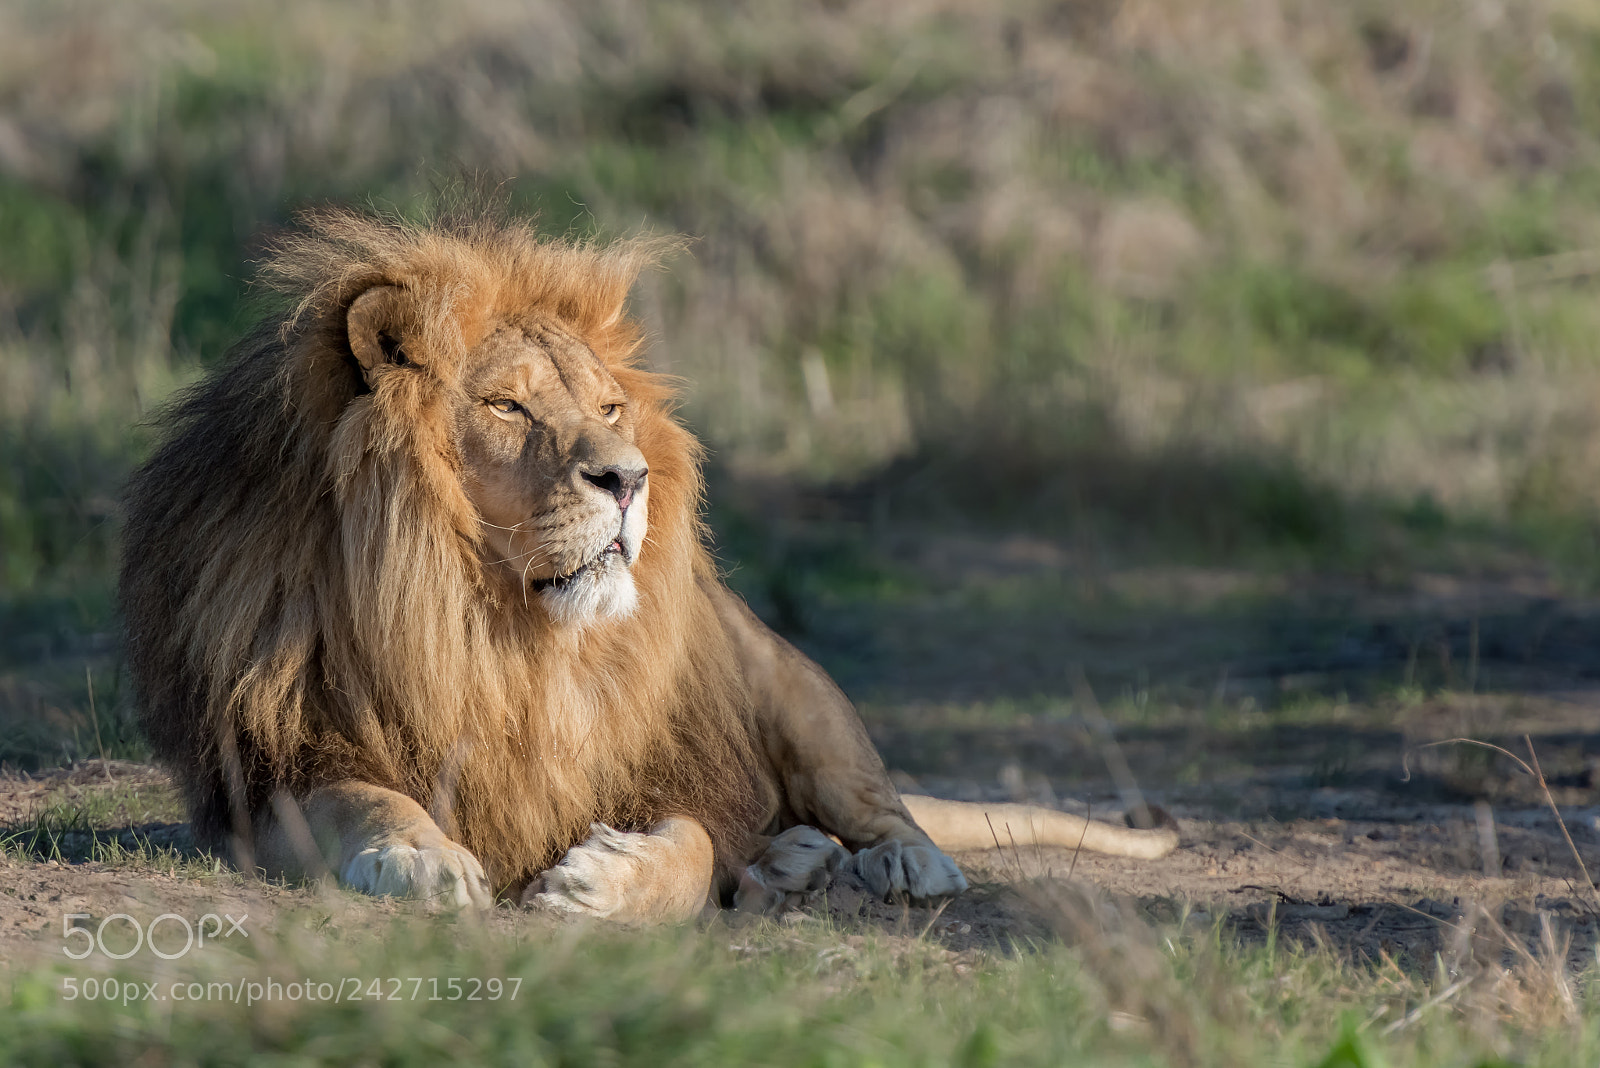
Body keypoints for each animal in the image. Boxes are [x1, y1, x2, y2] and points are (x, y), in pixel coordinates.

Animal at [119, 204, 1177, 922]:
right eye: (507, 407)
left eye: (611, 407)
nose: (628, 480)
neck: (492, 627)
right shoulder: (274, 766)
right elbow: (365, 801)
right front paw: (423, 858)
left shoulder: (653, 765)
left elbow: (692, 850)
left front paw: (601, 883)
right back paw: (794, 862)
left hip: (795, 691)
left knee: (882, 806)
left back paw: (896, 865)